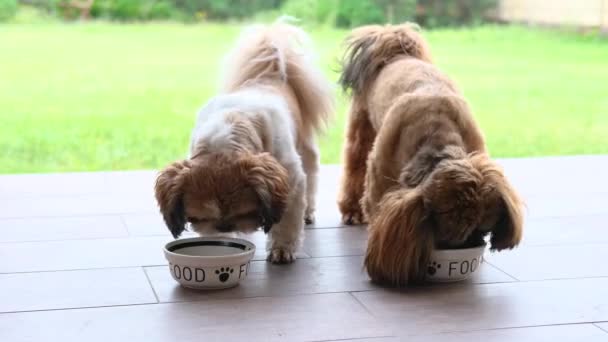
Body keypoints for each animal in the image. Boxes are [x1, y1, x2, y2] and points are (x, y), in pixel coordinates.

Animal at [152, 18, 332, 264]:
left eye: (245, 213)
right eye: (200, 218)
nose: (225, 226)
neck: (230, 126)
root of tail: (271, 73)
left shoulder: (291, 178)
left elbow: (286, 219)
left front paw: (282, 248)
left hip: (304, 146)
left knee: (312, 172)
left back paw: (308, 212)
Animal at [338, 24, 524, 286]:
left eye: (483, 230)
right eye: (444, 239)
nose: (470, 247)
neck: (437, 136)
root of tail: (394, 47)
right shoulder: (379, 185)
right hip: (361, 130)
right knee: (354, 166)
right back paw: (352, 210)